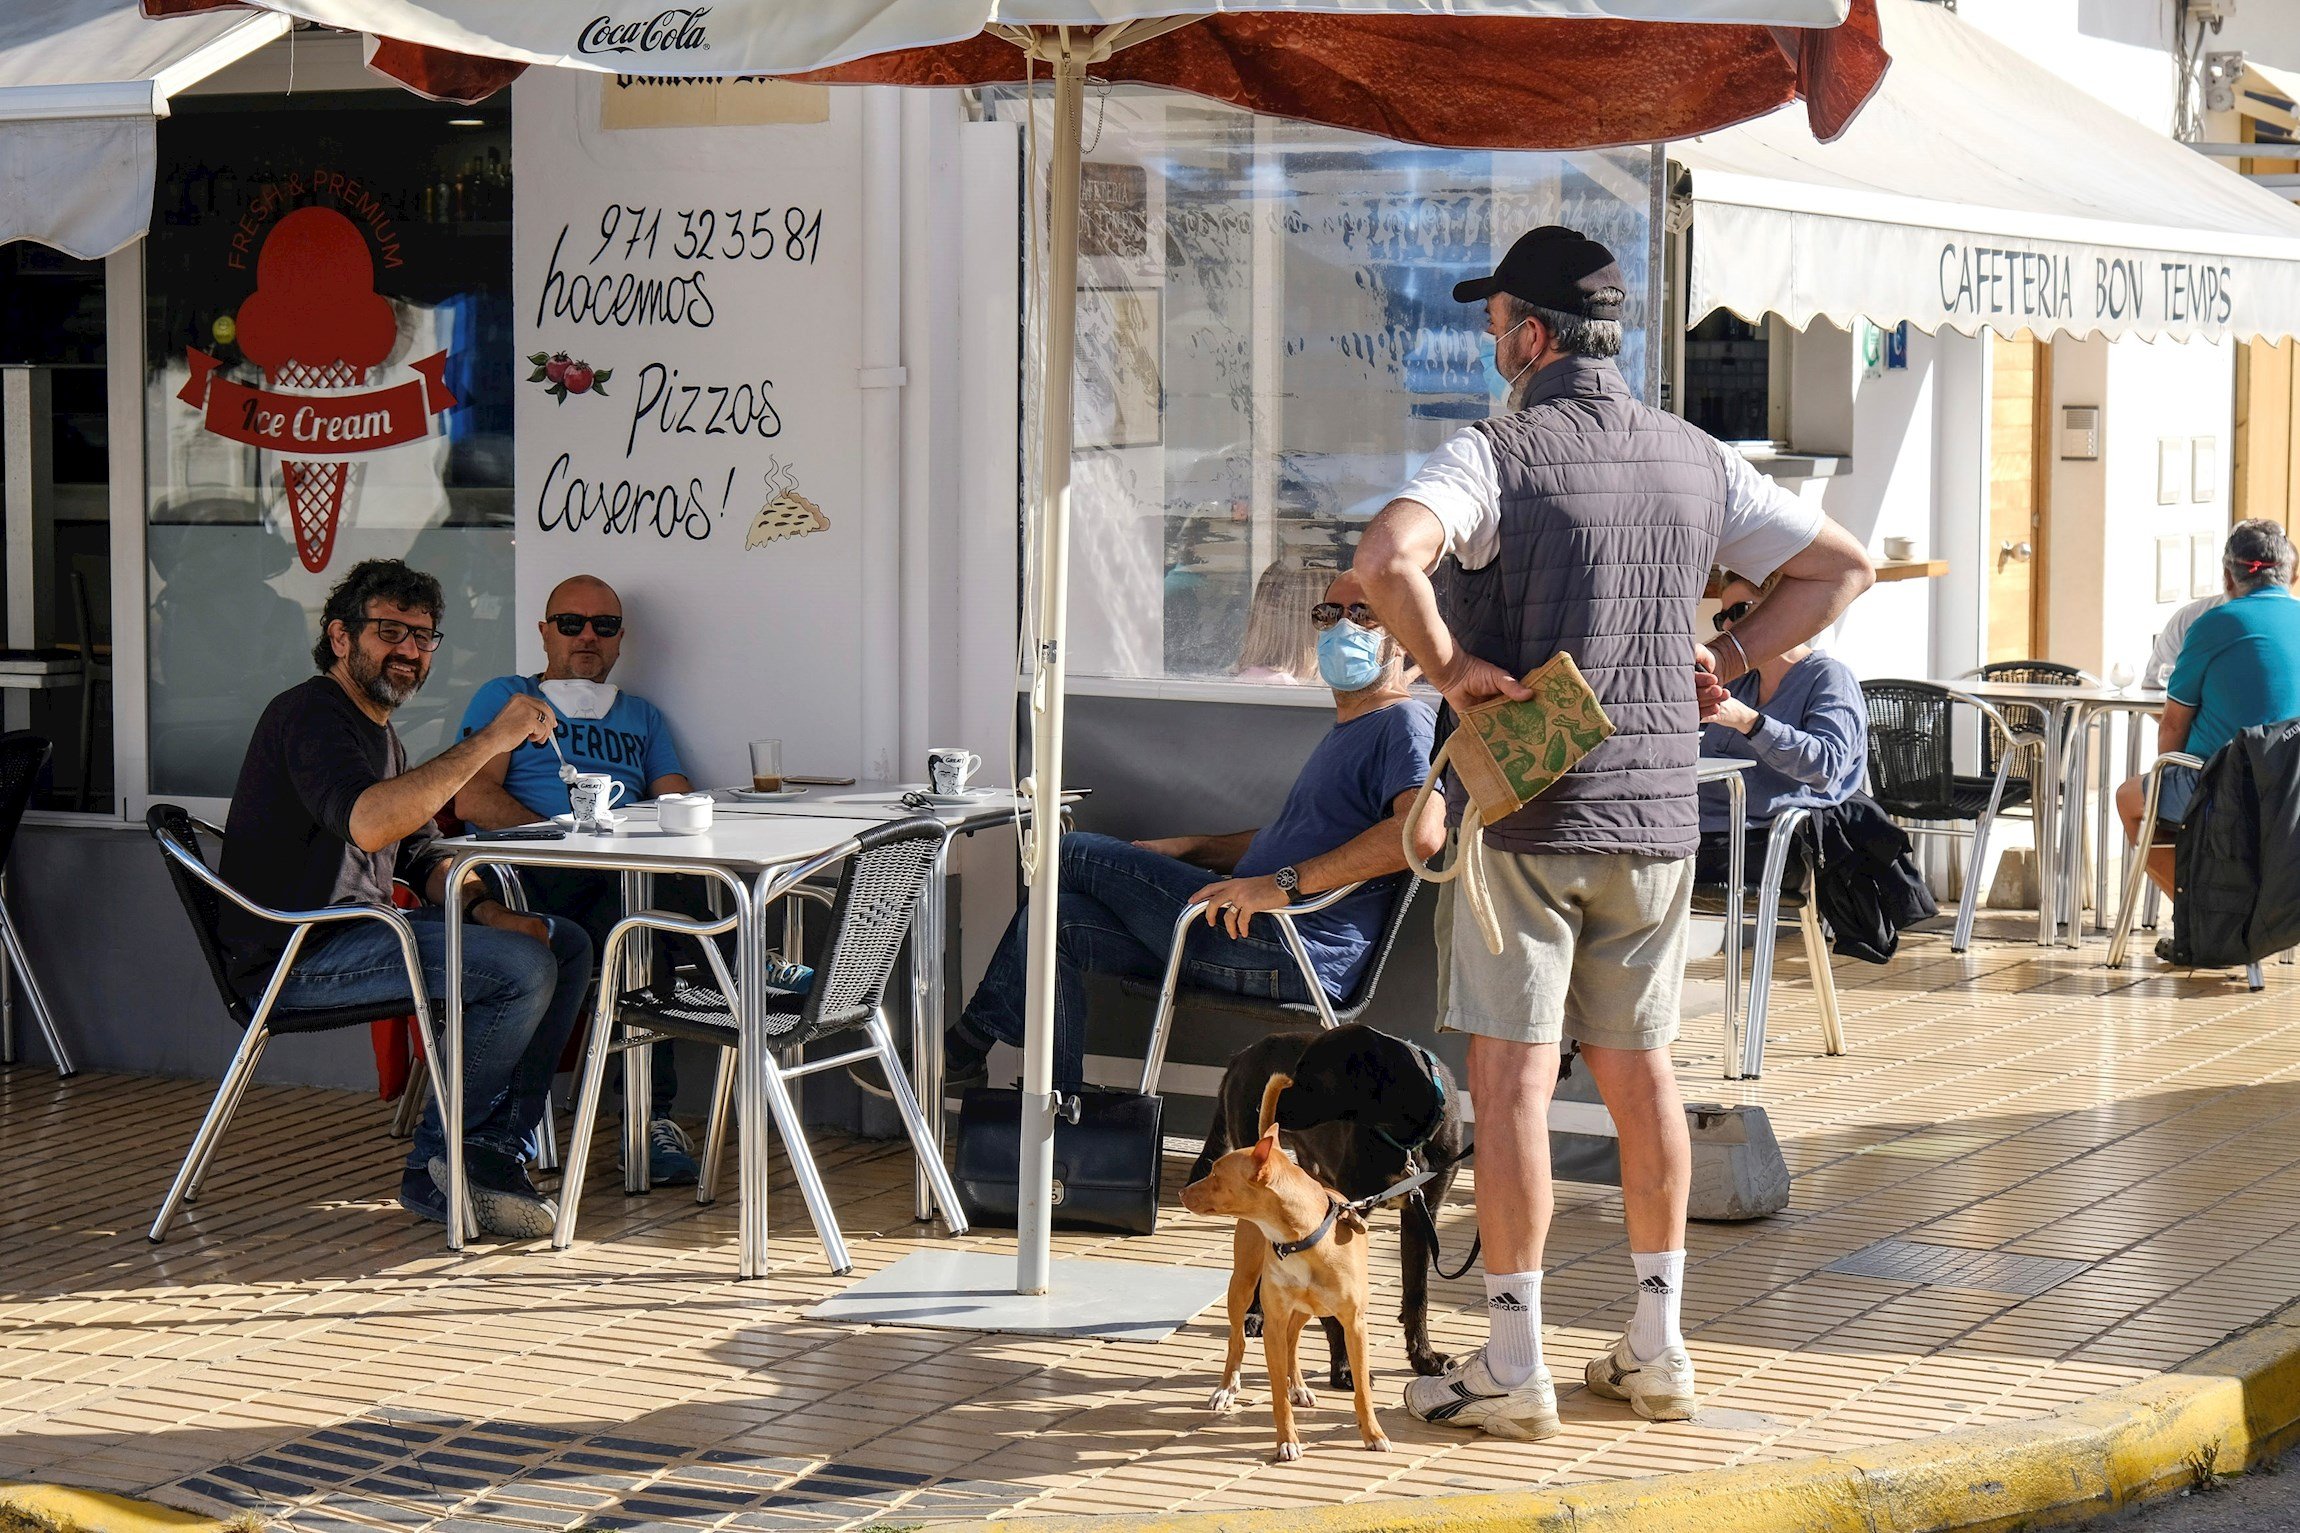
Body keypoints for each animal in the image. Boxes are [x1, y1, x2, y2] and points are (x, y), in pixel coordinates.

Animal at [1186, 1080, 1380, 1461]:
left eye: (1216, 1174)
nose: (1183, 1192)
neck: (1301, 1239)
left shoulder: (1354, 1324)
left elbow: (1363, 1390)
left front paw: (1373, 1434)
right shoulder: (1272, 1321)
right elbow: (1276, 1393)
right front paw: (1287, 1440)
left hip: (1308, 1308)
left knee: (1293, 1341)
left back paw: (1299, 1386)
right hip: (1242, 1286)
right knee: (1237, 1339)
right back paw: (1227, 1388)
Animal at [1196, 1020, 1462, 1388]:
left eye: (1310, 1074)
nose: (1264, 1102)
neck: (1405, 1138)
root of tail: (1241, 1056)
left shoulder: (1422, 1214)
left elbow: (1416, 1293)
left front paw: (1423, 1357)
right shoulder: (1344, 1216)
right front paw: (1346, 1367)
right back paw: (1254, 1314)